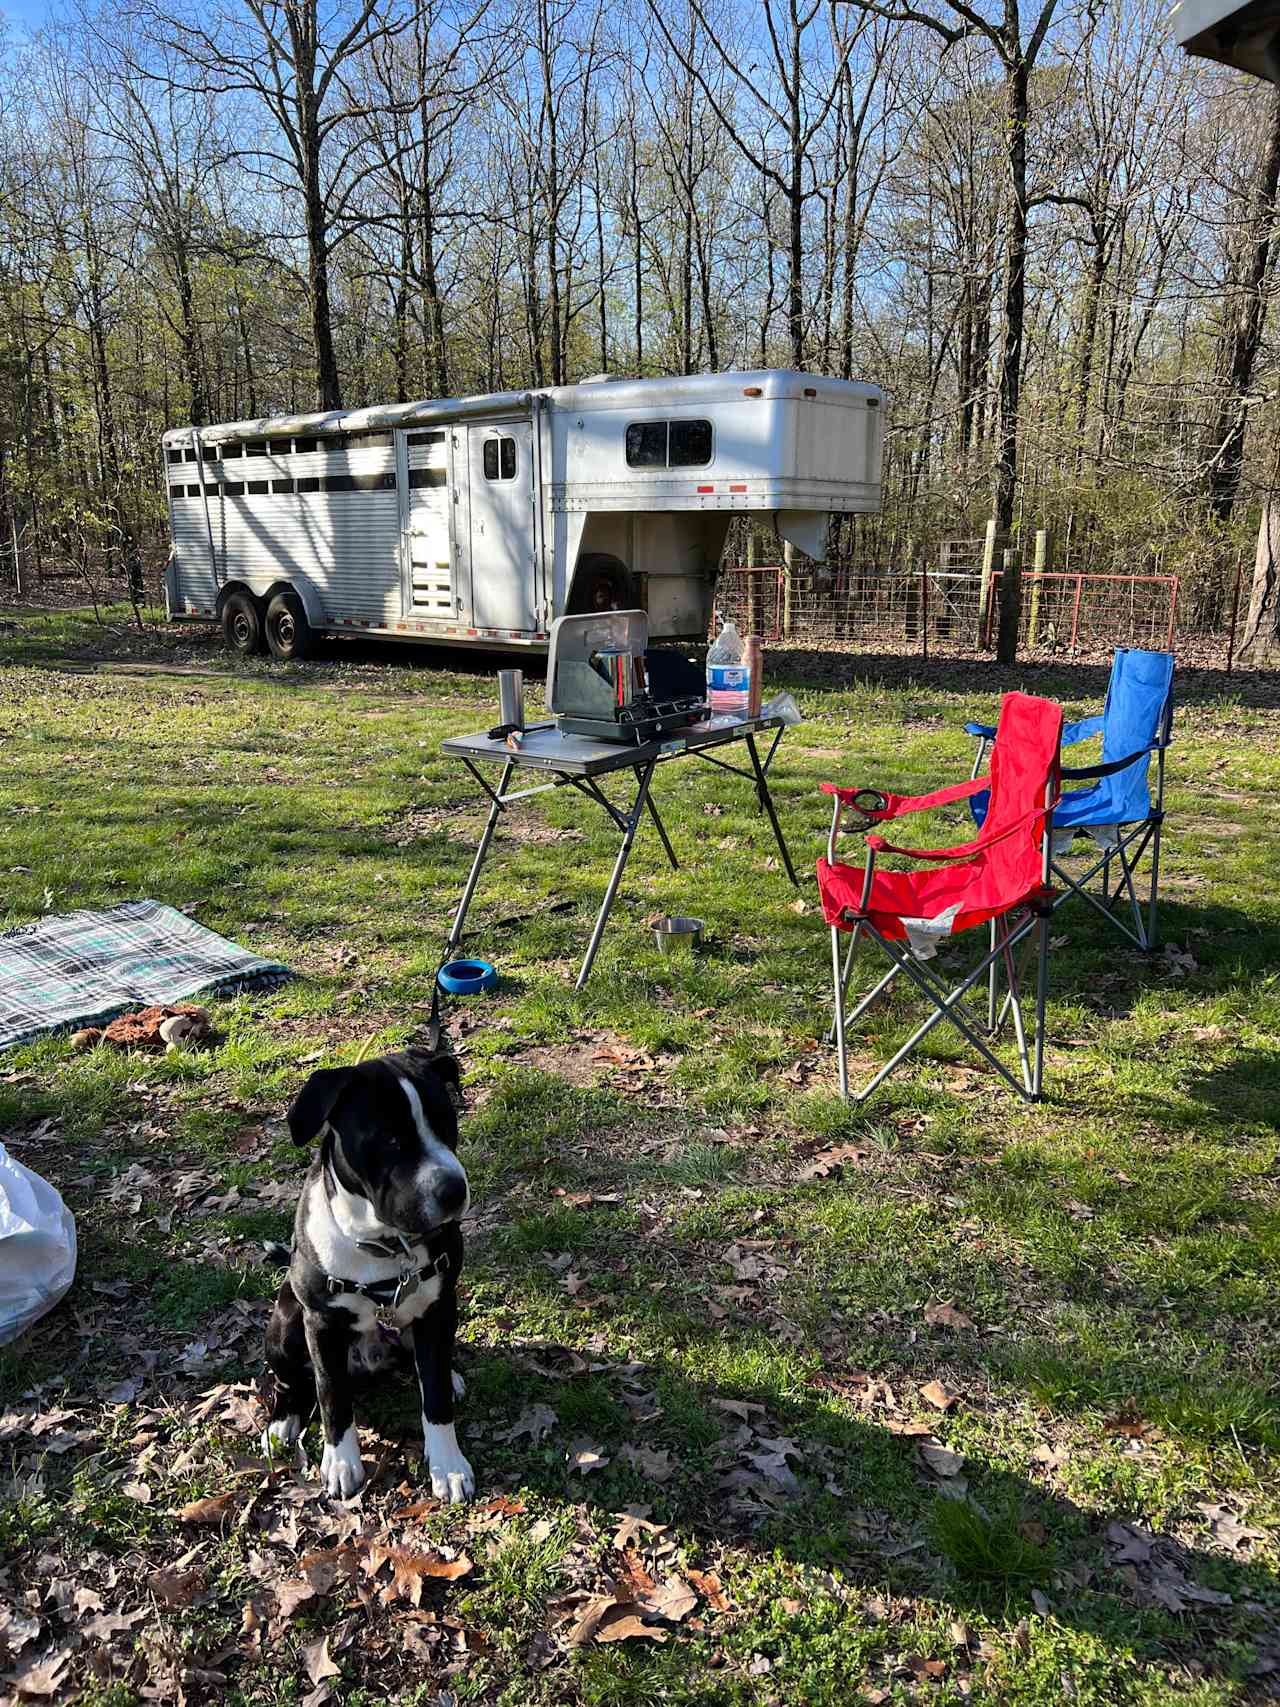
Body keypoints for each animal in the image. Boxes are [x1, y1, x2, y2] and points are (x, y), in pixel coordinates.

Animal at [261, 1044, 477, 1502]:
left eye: (447, 1124)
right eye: (391, 1140)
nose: (454, 1190)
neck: (383, 1243)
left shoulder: (438, 1308)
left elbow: (434, 1397)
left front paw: (447, 1465)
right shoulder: (321, 1325)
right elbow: (332, 1397)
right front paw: (341, 1463)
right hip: (285, 1325)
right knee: (290, 1382)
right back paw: (283, 1422)